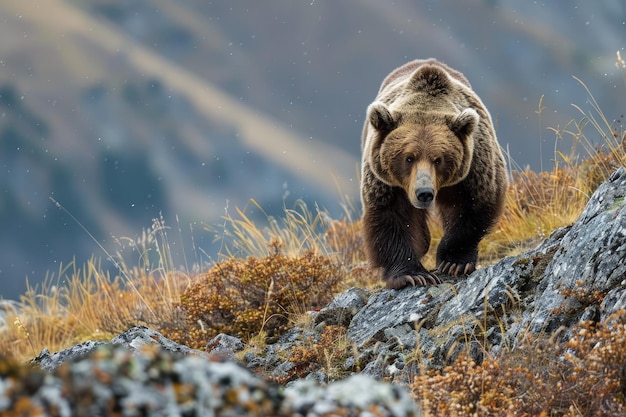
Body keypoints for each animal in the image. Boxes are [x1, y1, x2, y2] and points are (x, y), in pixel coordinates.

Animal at [360, 57, 508, 286]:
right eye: (408, 157)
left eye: (438, 159)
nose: (424, 193)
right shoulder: (386, 181)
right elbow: (392, 217)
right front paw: (412, 274)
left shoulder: (474, 167)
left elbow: (474, 207)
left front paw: (454, 262)